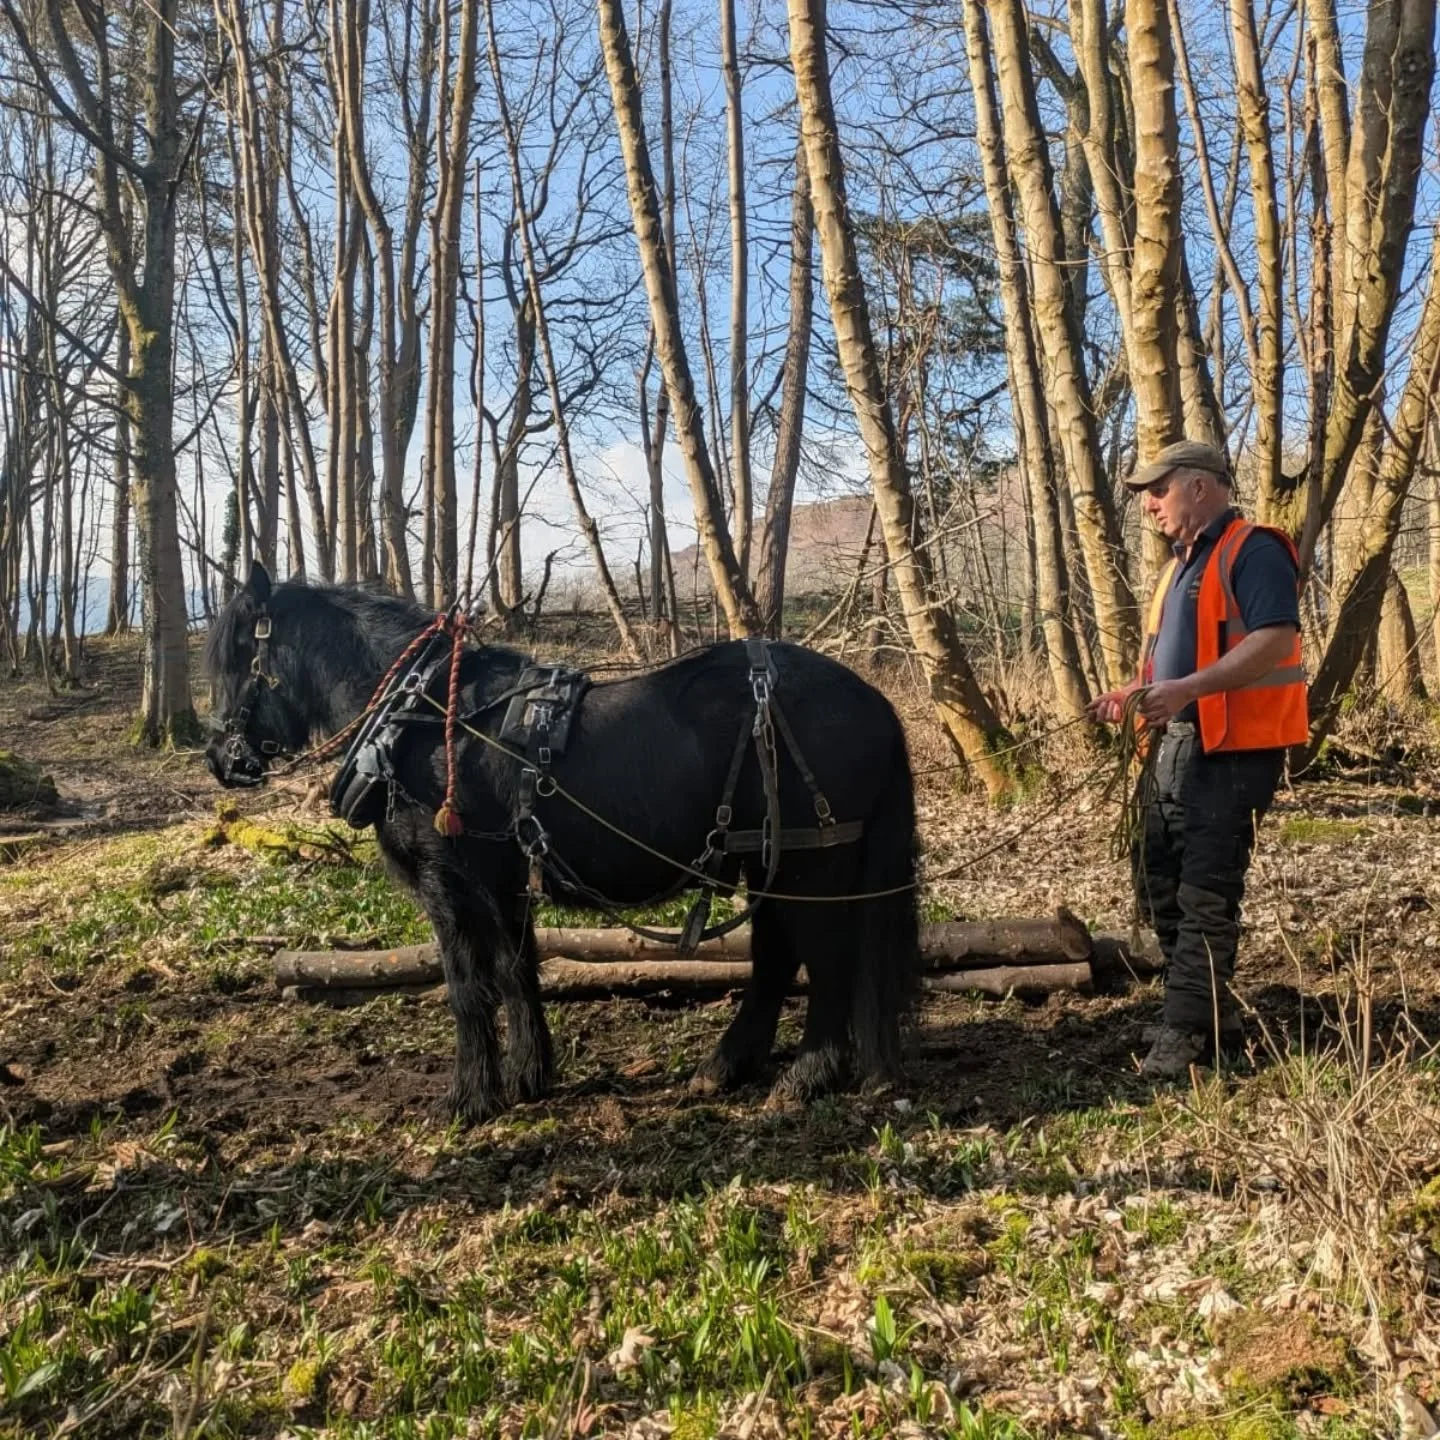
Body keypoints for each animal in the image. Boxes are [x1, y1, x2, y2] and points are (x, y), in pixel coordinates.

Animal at [204, 562, 920, 1124]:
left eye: (242, 655)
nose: (221, 759)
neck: (422, 720)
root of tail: (874, 702)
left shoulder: (447, 879)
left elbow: (467, 983)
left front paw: (468, 1099)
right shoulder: (505, 879)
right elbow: (516, 970)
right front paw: (529, 1078)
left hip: (813, 859)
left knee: (825, 958)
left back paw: (808, 1074)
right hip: (766, 854)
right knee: (775, 956)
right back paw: (726, 1065)